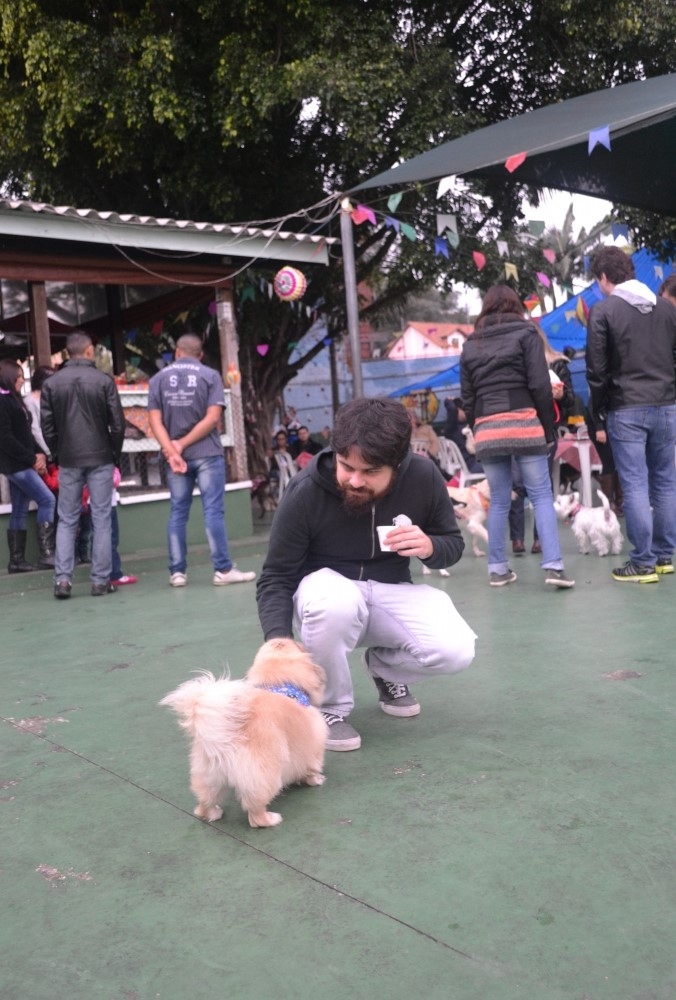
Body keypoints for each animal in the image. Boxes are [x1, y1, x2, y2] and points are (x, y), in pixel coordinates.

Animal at [159, 640, 328, 828]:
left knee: (205, 802)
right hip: (264, 777)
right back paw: (271, 819)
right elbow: (311, 767)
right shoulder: (312, 745)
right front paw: (315, 779)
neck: (280, 681)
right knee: (255, 814)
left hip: (209, 777)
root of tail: (224, 736)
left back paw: (213, 813)